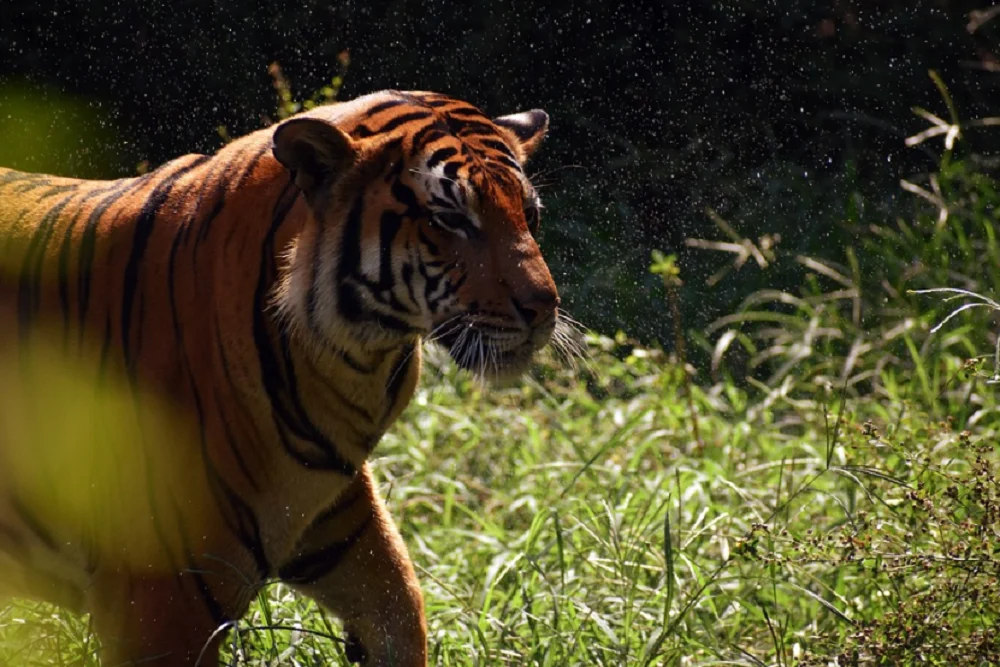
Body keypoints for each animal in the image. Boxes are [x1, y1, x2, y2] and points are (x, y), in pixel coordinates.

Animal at [0, 90, 564, 667]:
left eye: (529, 214)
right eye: (451, 218)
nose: (544, 307)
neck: (353, 367)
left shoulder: (339, 530)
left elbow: (402, 610)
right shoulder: (162, 598)